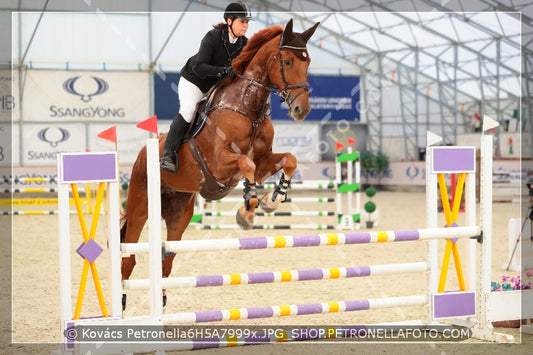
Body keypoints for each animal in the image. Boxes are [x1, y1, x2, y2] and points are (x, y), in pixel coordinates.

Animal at [120, 18, 318, 308]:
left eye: (308, 61)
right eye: (288, 61)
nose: (301, 110)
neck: (249, 107)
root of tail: (143, 153)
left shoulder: (264, 162)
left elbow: (288, 161)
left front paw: (272, 199)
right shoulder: (219, 164)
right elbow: (246, 163)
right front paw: (247, 210)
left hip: (179, 212)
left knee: (167, 258)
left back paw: (163, 300)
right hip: (140, 205)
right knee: (128, 255)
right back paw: (122, 302)